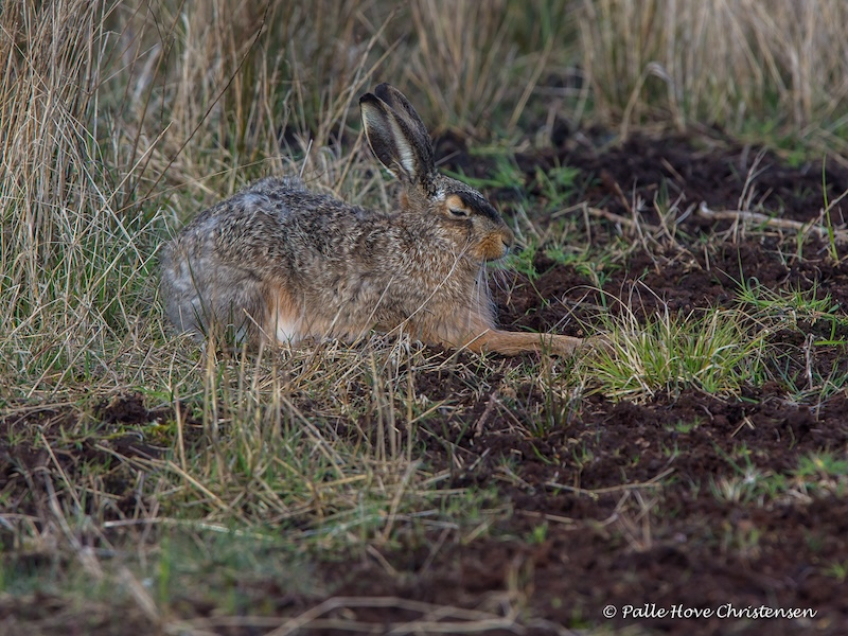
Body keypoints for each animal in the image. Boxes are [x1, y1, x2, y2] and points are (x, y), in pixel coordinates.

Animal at [159, 83, 589, 356]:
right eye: (458, 211)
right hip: (258, 293)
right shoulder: (460, 329)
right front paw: (585, 345)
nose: (508, 241)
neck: (426, 243)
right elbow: (523, 340)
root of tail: (175, 277)